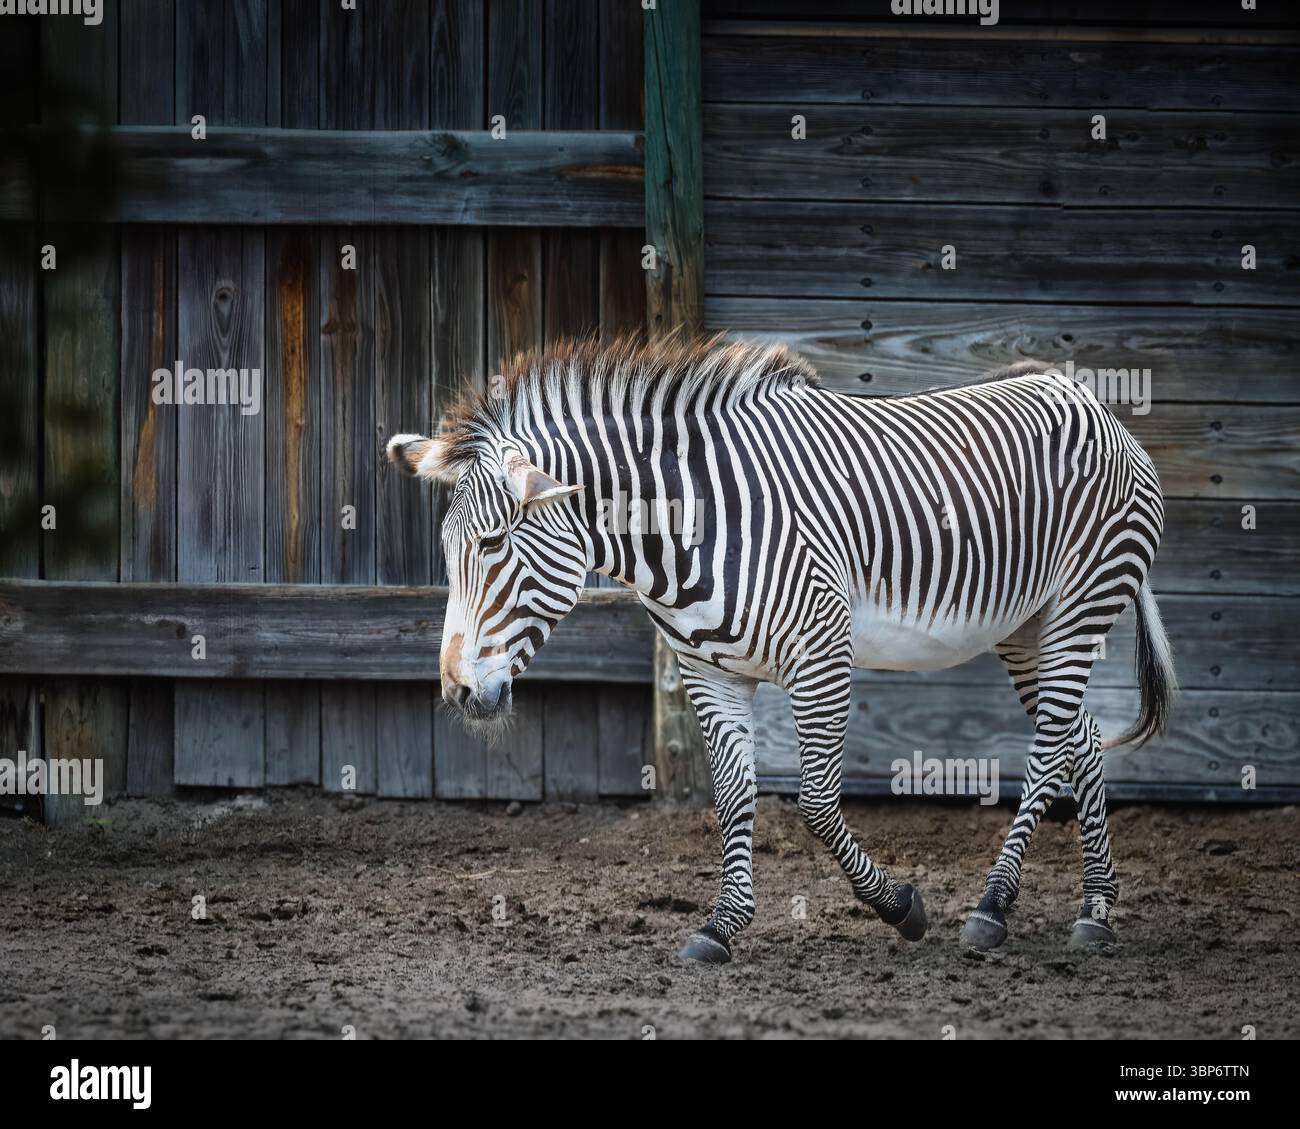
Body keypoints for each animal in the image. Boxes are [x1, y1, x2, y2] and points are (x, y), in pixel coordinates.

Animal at [387, 335, 1175, 962]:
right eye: (448, 548)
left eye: (493, 543)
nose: (457, 689)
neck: (691, 528)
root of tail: (1082, 394)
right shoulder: (708, 672)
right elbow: (734, 796)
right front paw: (721, 925)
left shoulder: (822, 655)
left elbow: (818, 803)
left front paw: (901, 907)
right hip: (1026, 626)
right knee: (1080, 739)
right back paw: (1095, 911)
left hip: (1080, 602)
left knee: (1049, 749)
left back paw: (992, 908)